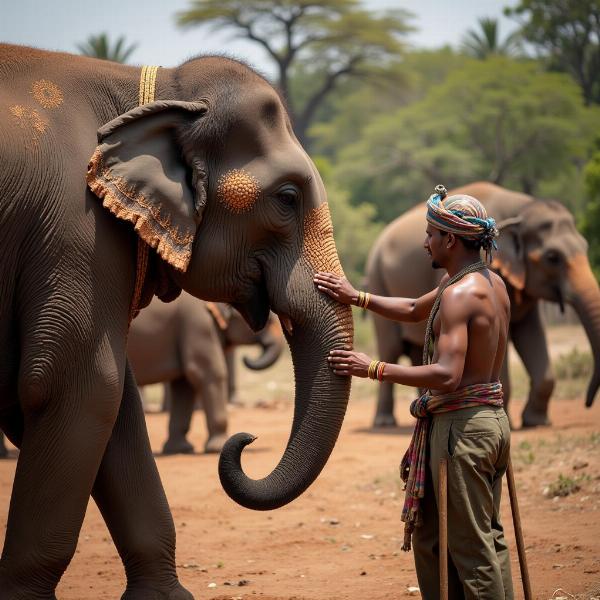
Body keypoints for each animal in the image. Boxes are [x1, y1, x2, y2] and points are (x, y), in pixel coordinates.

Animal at [127, 292, 282, 454]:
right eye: (269, 321)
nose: (245, 358)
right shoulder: (199, 325)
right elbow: (209, 372)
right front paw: (217, 448)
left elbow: (184, 385)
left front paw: (181, 449)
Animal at [366, 180, 600, 428]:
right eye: (553, 257)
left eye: (585, 246)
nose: (587, 404)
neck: (522, 207)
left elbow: (529, 331)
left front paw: (536, 423)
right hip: (377, 275)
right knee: (391, 348)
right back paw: (385, 422)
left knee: (415, 349)